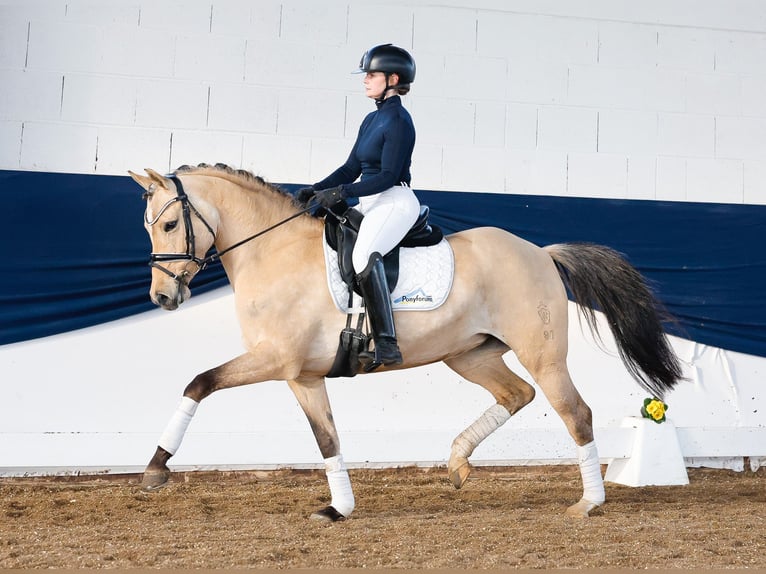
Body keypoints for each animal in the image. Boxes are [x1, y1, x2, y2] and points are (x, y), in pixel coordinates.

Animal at [127, 162, 684, 520]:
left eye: (171, 223)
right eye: (148, 227)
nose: (162, 297)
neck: (273, 252)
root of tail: (541, 252)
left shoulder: (274, 360)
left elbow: (199, 383)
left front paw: (155, 468)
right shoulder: (302, 375)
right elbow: (327, 439)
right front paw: (339, 507)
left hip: (542, 355)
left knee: (576, 413)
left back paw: (588, 503)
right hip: (469, 355)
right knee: (516, 394)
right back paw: (457, 464)